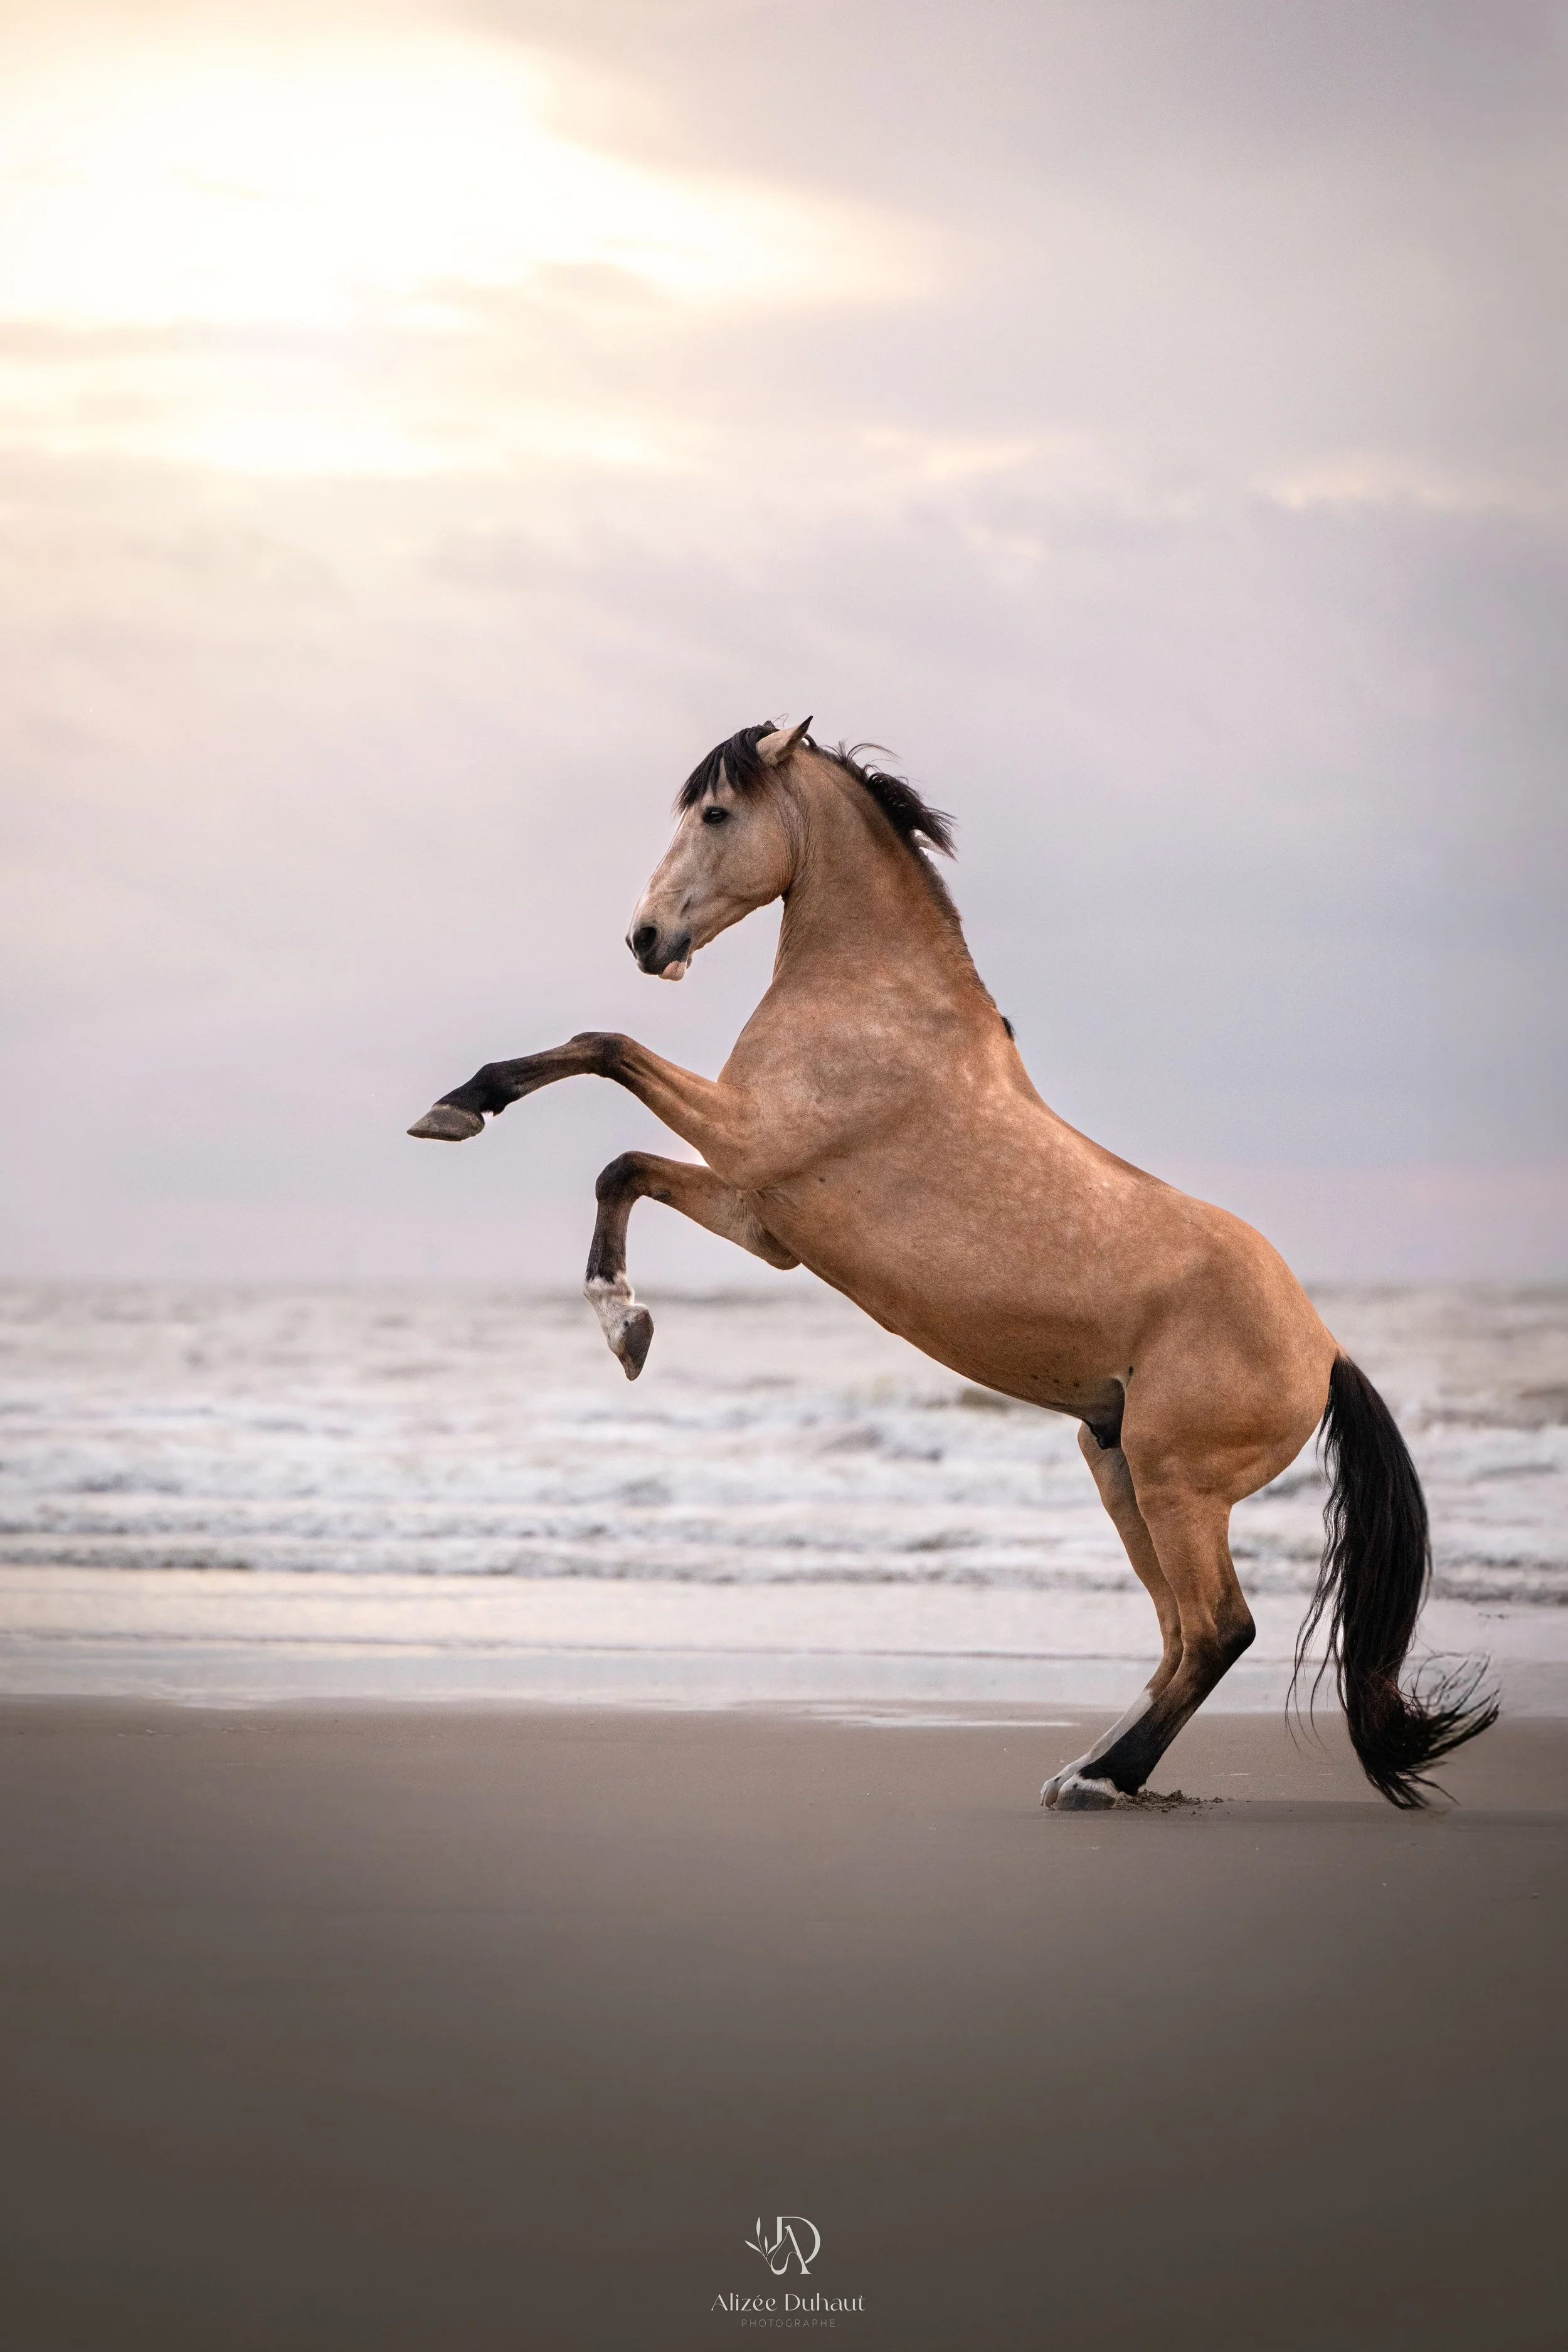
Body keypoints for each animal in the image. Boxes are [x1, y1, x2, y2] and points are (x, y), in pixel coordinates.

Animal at [409, 719, 1497, 1809]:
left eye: (714, 812)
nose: (644, 939)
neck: (880, 1003)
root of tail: (1326, 1348)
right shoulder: (763, 1216)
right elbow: (620, 1166)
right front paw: (625, 1325)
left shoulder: (751, 1143)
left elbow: (606, 1045)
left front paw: (460, 1107)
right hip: (1117, 1463)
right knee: (1179, 1636)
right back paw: (1088, 1768)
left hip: (1175, 1481)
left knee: (1220, 1629)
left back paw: (1104, 1778)